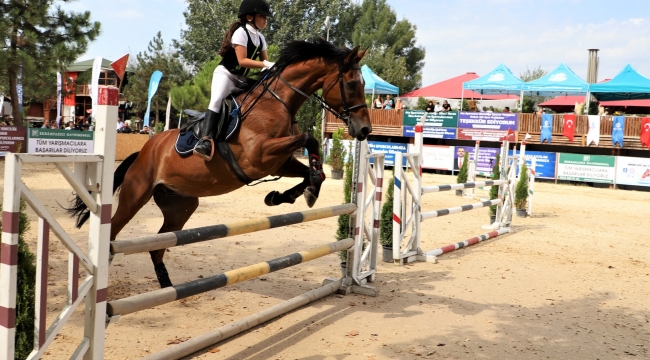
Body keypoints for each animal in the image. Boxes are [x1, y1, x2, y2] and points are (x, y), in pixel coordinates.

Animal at [68, 38, 372, 286]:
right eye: (351, 84)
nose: (365, 130)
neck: (277, 103)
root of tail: (145, 150)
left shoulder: (278, 163)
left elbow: (312, 171)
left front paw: (288, 195)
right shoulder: (260, 156)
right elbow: (310, 139)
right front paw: (299, 192)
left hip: (181, 205)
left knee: (158, 245)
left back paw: (167, 287)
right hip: (136, 194)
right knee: (114, 230)